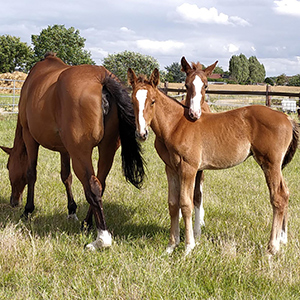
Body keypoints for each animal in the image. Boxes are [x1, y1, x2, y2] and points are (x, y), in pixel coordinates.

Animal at [0, 52, 144, 250]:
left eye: (8, 167)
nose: (13, 201)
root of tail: (102, 78)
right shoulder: (65, 150)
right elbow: (66, 177)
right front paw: (71, 210)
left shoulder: (30, 138)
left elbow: (31, 174)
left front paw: (28, 211)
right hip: (106, 150)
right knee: (100, 184)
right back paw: (87, 223)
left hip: (81, 154)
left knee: (93, 187)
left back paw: (102, 238)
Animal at [127, 67, 298, 254]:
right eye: (133, 101)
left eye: (153, 101)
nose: (141, 133)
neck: (176, 125)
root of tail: (287, 119)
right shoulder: (170, 168)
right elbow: (173, 204)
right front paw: (171, 246)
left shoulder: (189, 168)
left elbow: (185, 204)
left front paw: (189, 247)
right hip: (275, 166)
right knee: (285, 192)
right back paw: (282, 239)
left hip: (270, 164)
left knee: (278, 197)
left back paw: (272, 247)